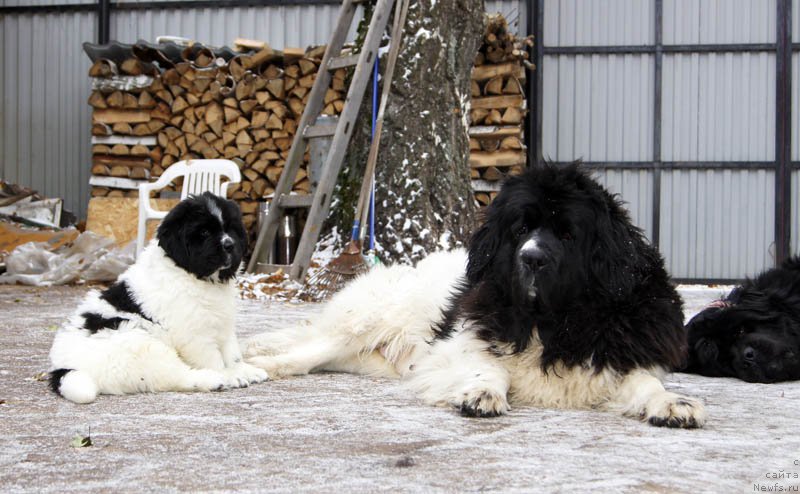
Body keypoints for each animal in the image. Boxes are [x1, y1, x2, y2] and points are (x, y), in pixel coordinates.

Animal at [48, 191, 268, 404]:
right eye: (204, 232)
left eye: (231, 229)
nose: (229, 245)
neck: (192, 275)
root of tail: (62, 367)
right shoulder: (194, 333)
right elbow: (213, 358)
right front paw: (231, 375)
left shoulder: (222, 322)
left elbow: (232, 353)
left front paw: (243, 370)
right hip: (140, 344)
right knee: (176, 375)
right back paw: (214, 380)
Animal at [245, 164, 708, 426]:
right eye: (521, 229)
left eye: (567, 234)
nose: (532, 258)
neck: (553, 322)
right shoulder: (459, 343)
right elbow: (487, 367)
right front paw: (481, 394)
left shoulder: (621, 353)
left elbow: (645, 381)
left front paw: (674, 403)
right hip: (369, 319)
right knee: (305, 352)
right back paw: (259, 363)